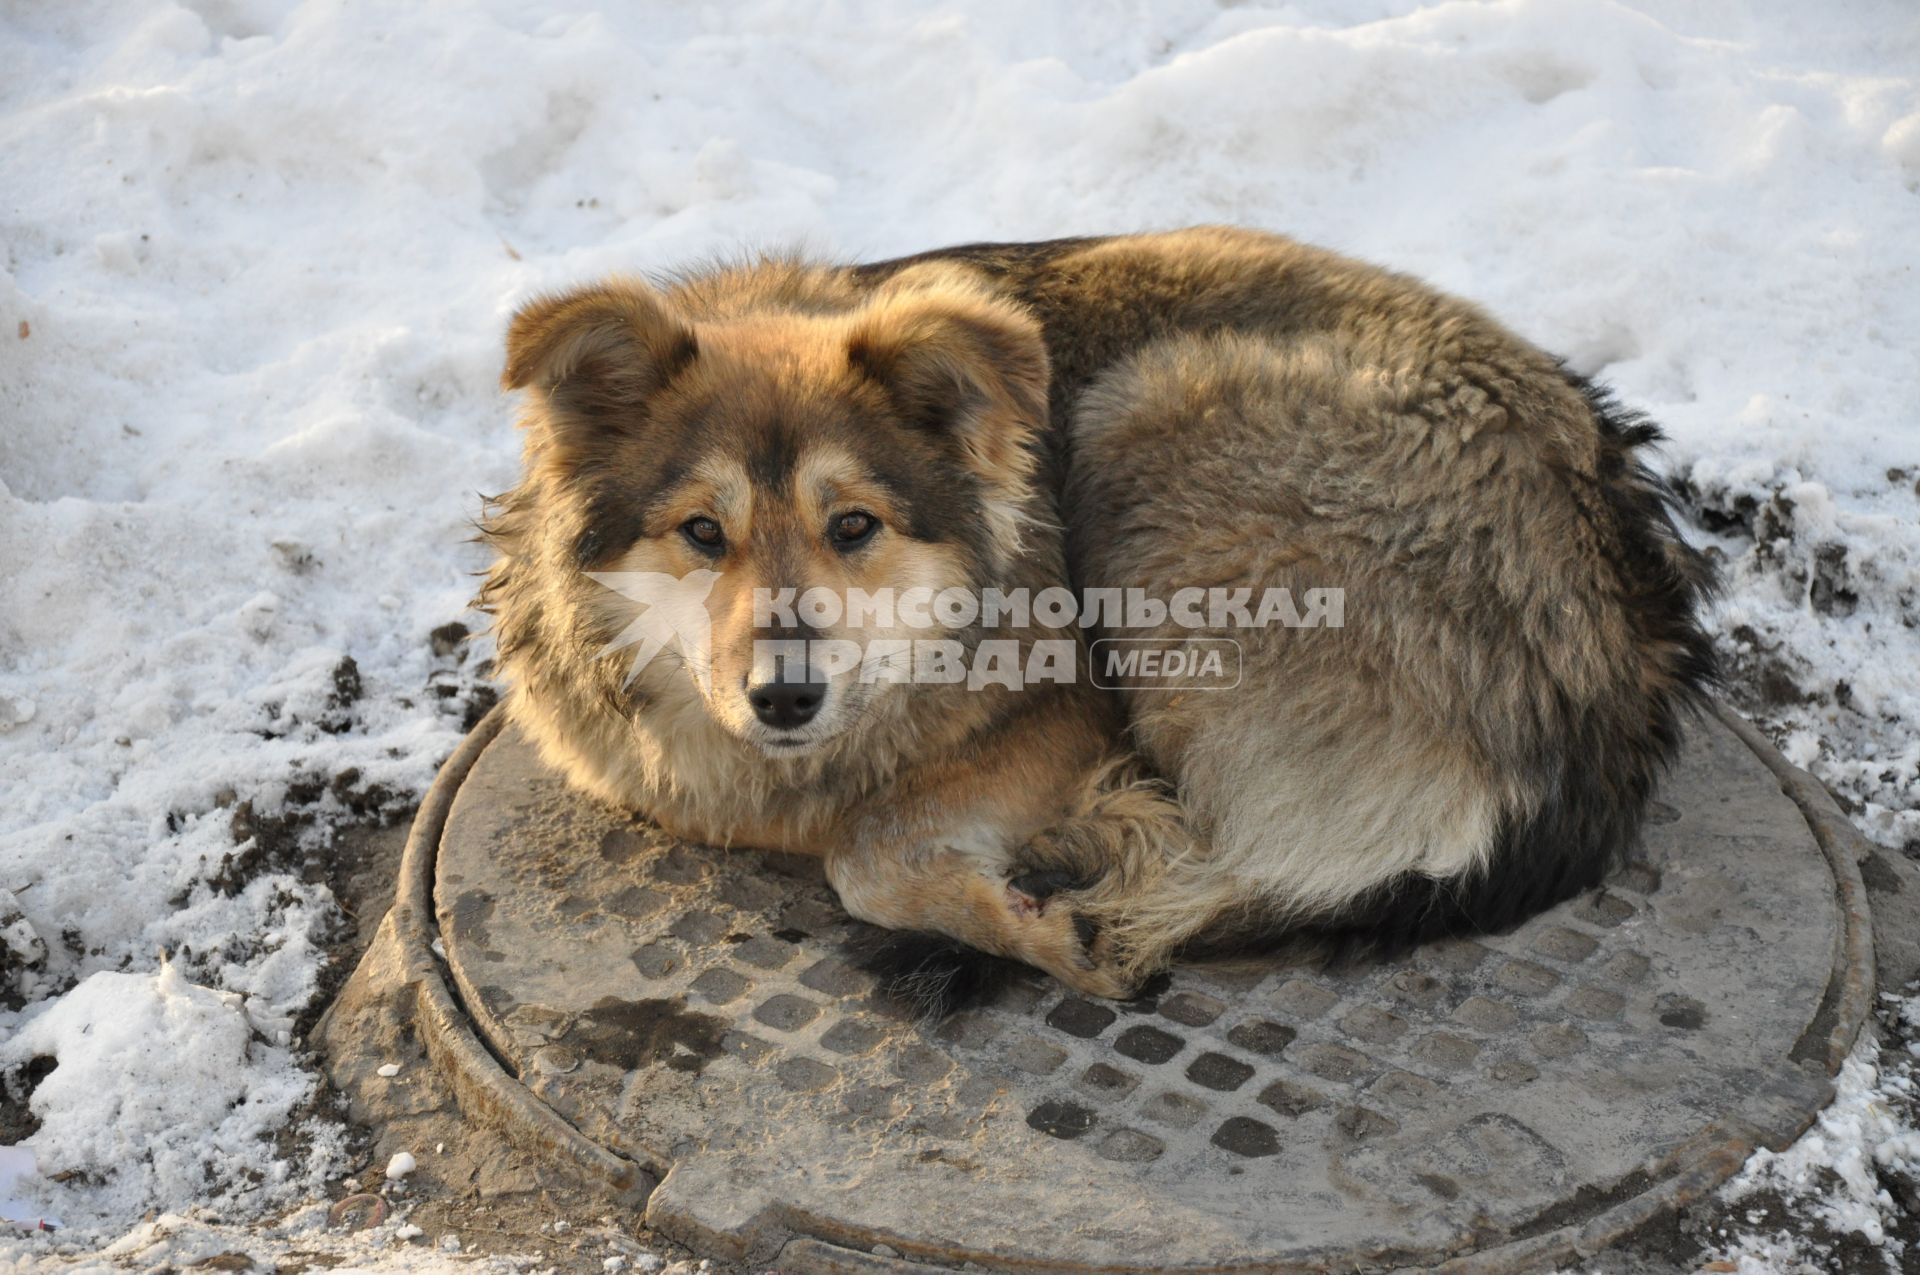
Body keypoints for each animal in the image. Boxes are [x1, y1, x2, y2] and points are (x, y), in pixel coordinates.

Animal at [476, 226, 1712, 1006]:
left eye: (853, 525)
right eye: (702, 530)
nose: (786, 697)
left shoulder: (1071, 711)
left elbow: (863, 853)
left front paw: (1039, 924)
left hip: (1151, 420)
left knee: (1237, 857)